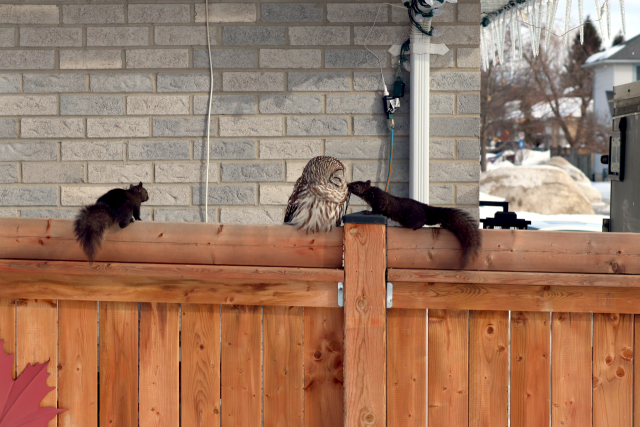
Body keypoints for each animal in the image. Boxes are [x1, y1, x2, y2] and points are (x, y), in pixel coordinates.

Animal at [347, 180, 482, 268]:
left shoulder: (381, 201)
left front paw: (368, 212)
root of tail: (427, 210)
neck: (370, 192)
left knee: (423, 222)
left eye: (356, 185)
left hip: (413, 218)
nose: (348, 185)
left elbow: (377, 209)